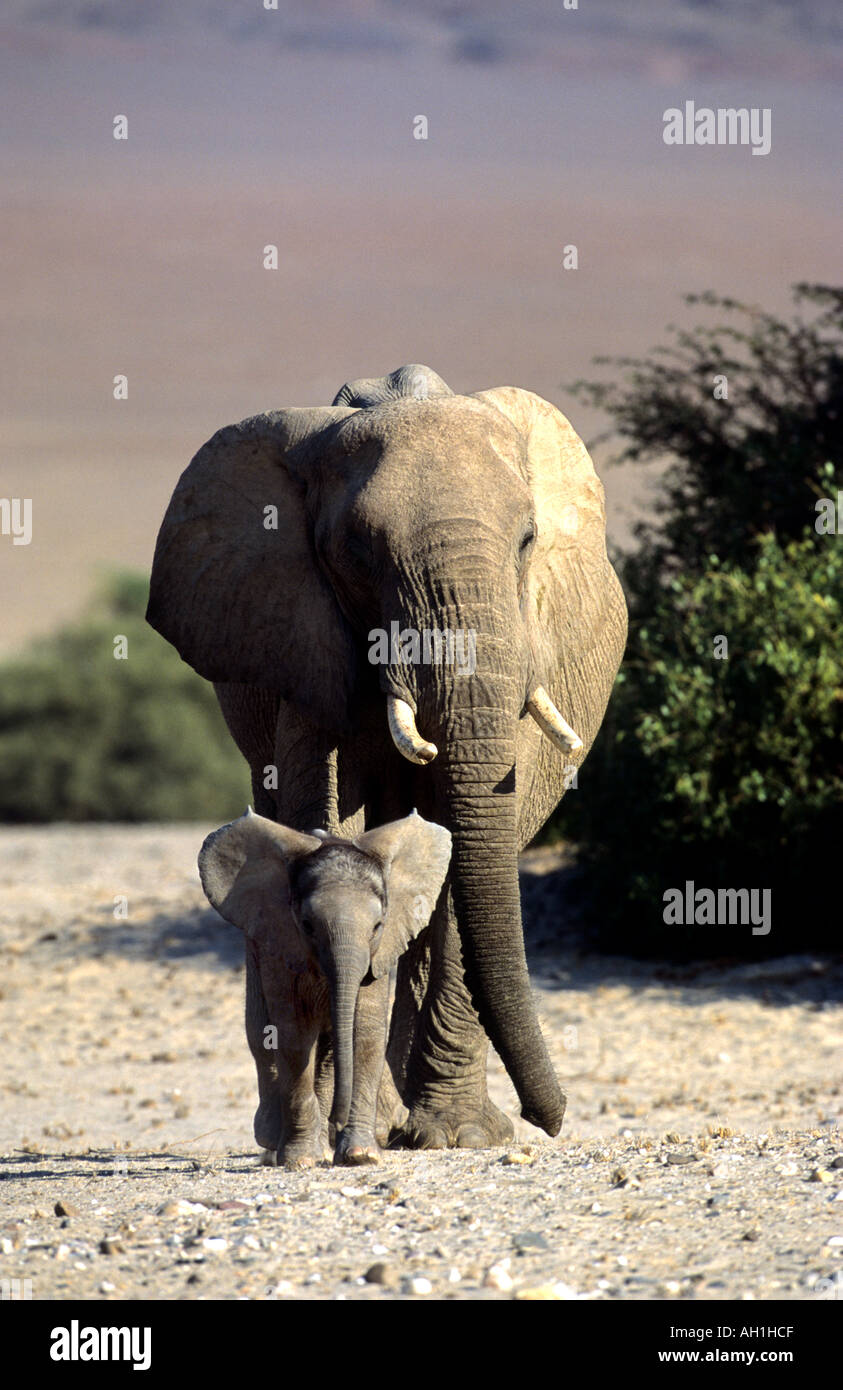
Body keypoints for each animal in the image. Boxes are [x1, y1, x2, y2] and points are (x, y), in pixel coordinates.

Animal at [198, 807, 451, 1167]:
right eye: (307, 926)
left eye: (377, 926)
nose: (337, 1121)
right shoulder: (281, 942)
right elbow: (293, 1035)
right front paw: (300, 1160)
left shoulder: (377, 957)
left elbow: (365, 1033)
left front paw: (360, 1156)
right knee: (261, 1031)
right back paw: (281, 1140)